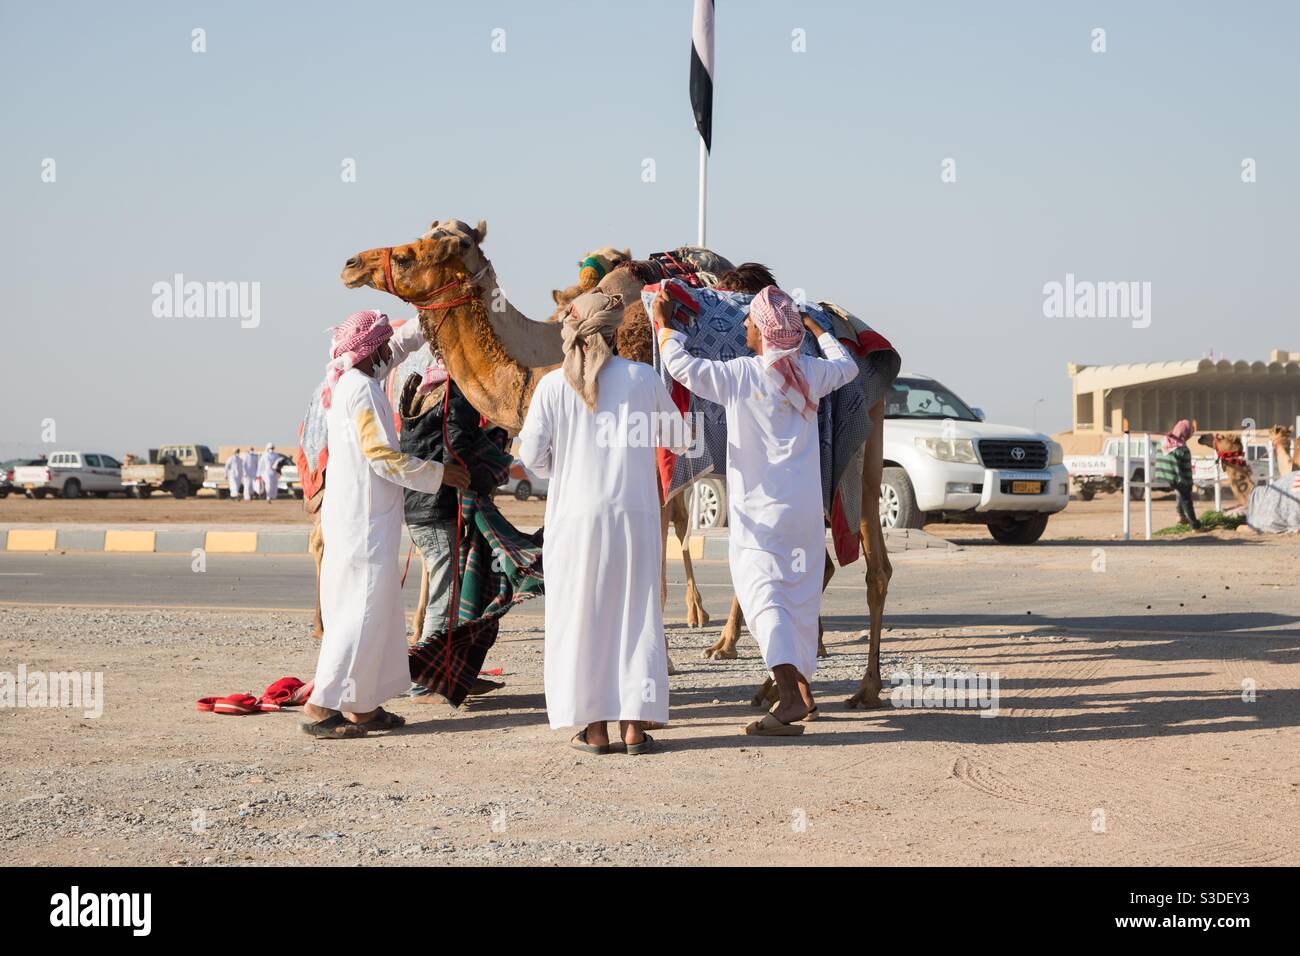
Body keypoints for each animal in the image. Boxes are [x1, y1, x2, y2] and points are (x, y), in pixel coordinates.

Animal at [338, 218, 894, 712]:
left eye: (409, 254)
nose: (351, 263)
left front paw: (652, 668)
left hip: (858, 445)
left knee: (870, 563)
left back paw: (858, 688)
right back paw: (774, 677)